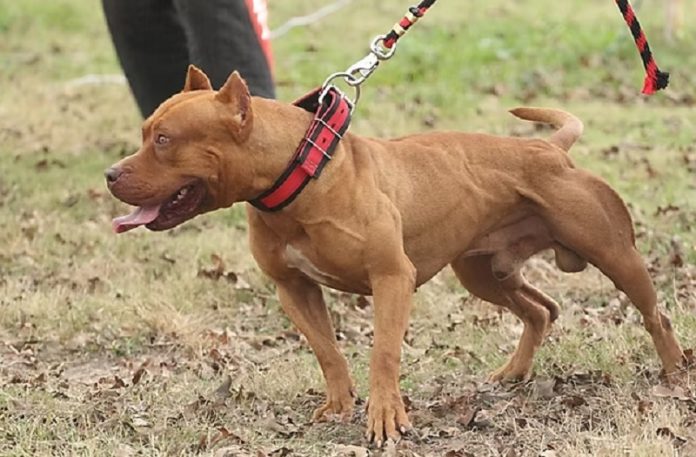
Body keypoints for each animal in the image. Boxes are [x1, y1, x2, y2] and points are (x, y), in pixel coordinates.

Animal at [106, 66, 688, 444]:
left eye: (163, 139)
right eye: (145, 133)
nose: (110, 174)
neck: (299, 176)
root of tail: (549, 149)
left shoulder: (391, 278)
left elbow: (383, 352)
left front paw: (386, 418)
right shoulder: (294, 288)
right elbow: (328, 351)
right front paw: (339, 405)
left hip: (613, 253)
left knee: (653, 314)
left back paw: (675, 375)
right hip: (483, 272)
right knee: (542, 309)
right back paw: (514, 372)